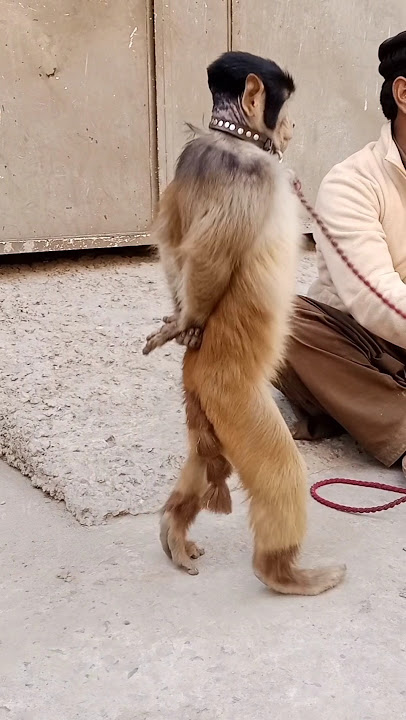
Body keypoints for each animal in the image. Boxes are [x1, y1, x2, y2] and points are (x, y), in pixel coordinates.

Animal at [144, 51, 346, 595]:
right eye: (285, 106)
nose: (291, 127)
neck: (231, 136)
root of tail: (197, 373)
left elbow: (173, 243)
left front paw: (183, 321)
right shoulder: (252, 175)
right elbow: (209, 257)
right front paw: (188, 321)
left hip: (207, 407)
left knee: (202, 461)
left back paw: (174, 525)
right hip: (229, 393)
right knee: (279, 472)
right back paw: (282, 572)